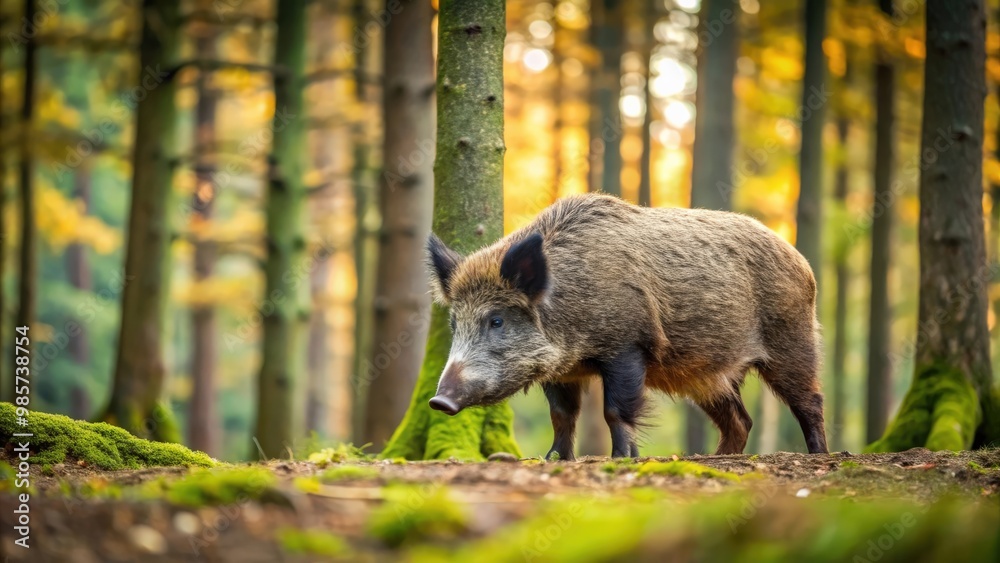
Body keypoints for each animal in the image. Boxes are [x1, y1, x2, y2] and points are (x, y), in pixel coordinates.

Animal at [426, 193, 828, 458]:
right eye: (454, 324)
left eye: (496, 320)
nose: (438, 400)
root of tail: (803, 262)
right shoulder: (562, 371)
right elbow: (562, 415)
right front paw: (554, 459)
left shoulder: (627, 346)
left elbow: (615, 409)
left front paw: (623, 458)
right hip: (709, 376)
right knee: (740, 420)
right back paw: (718, 459)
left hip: (792, 339)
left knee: (810, 401)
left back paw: (819, 455)